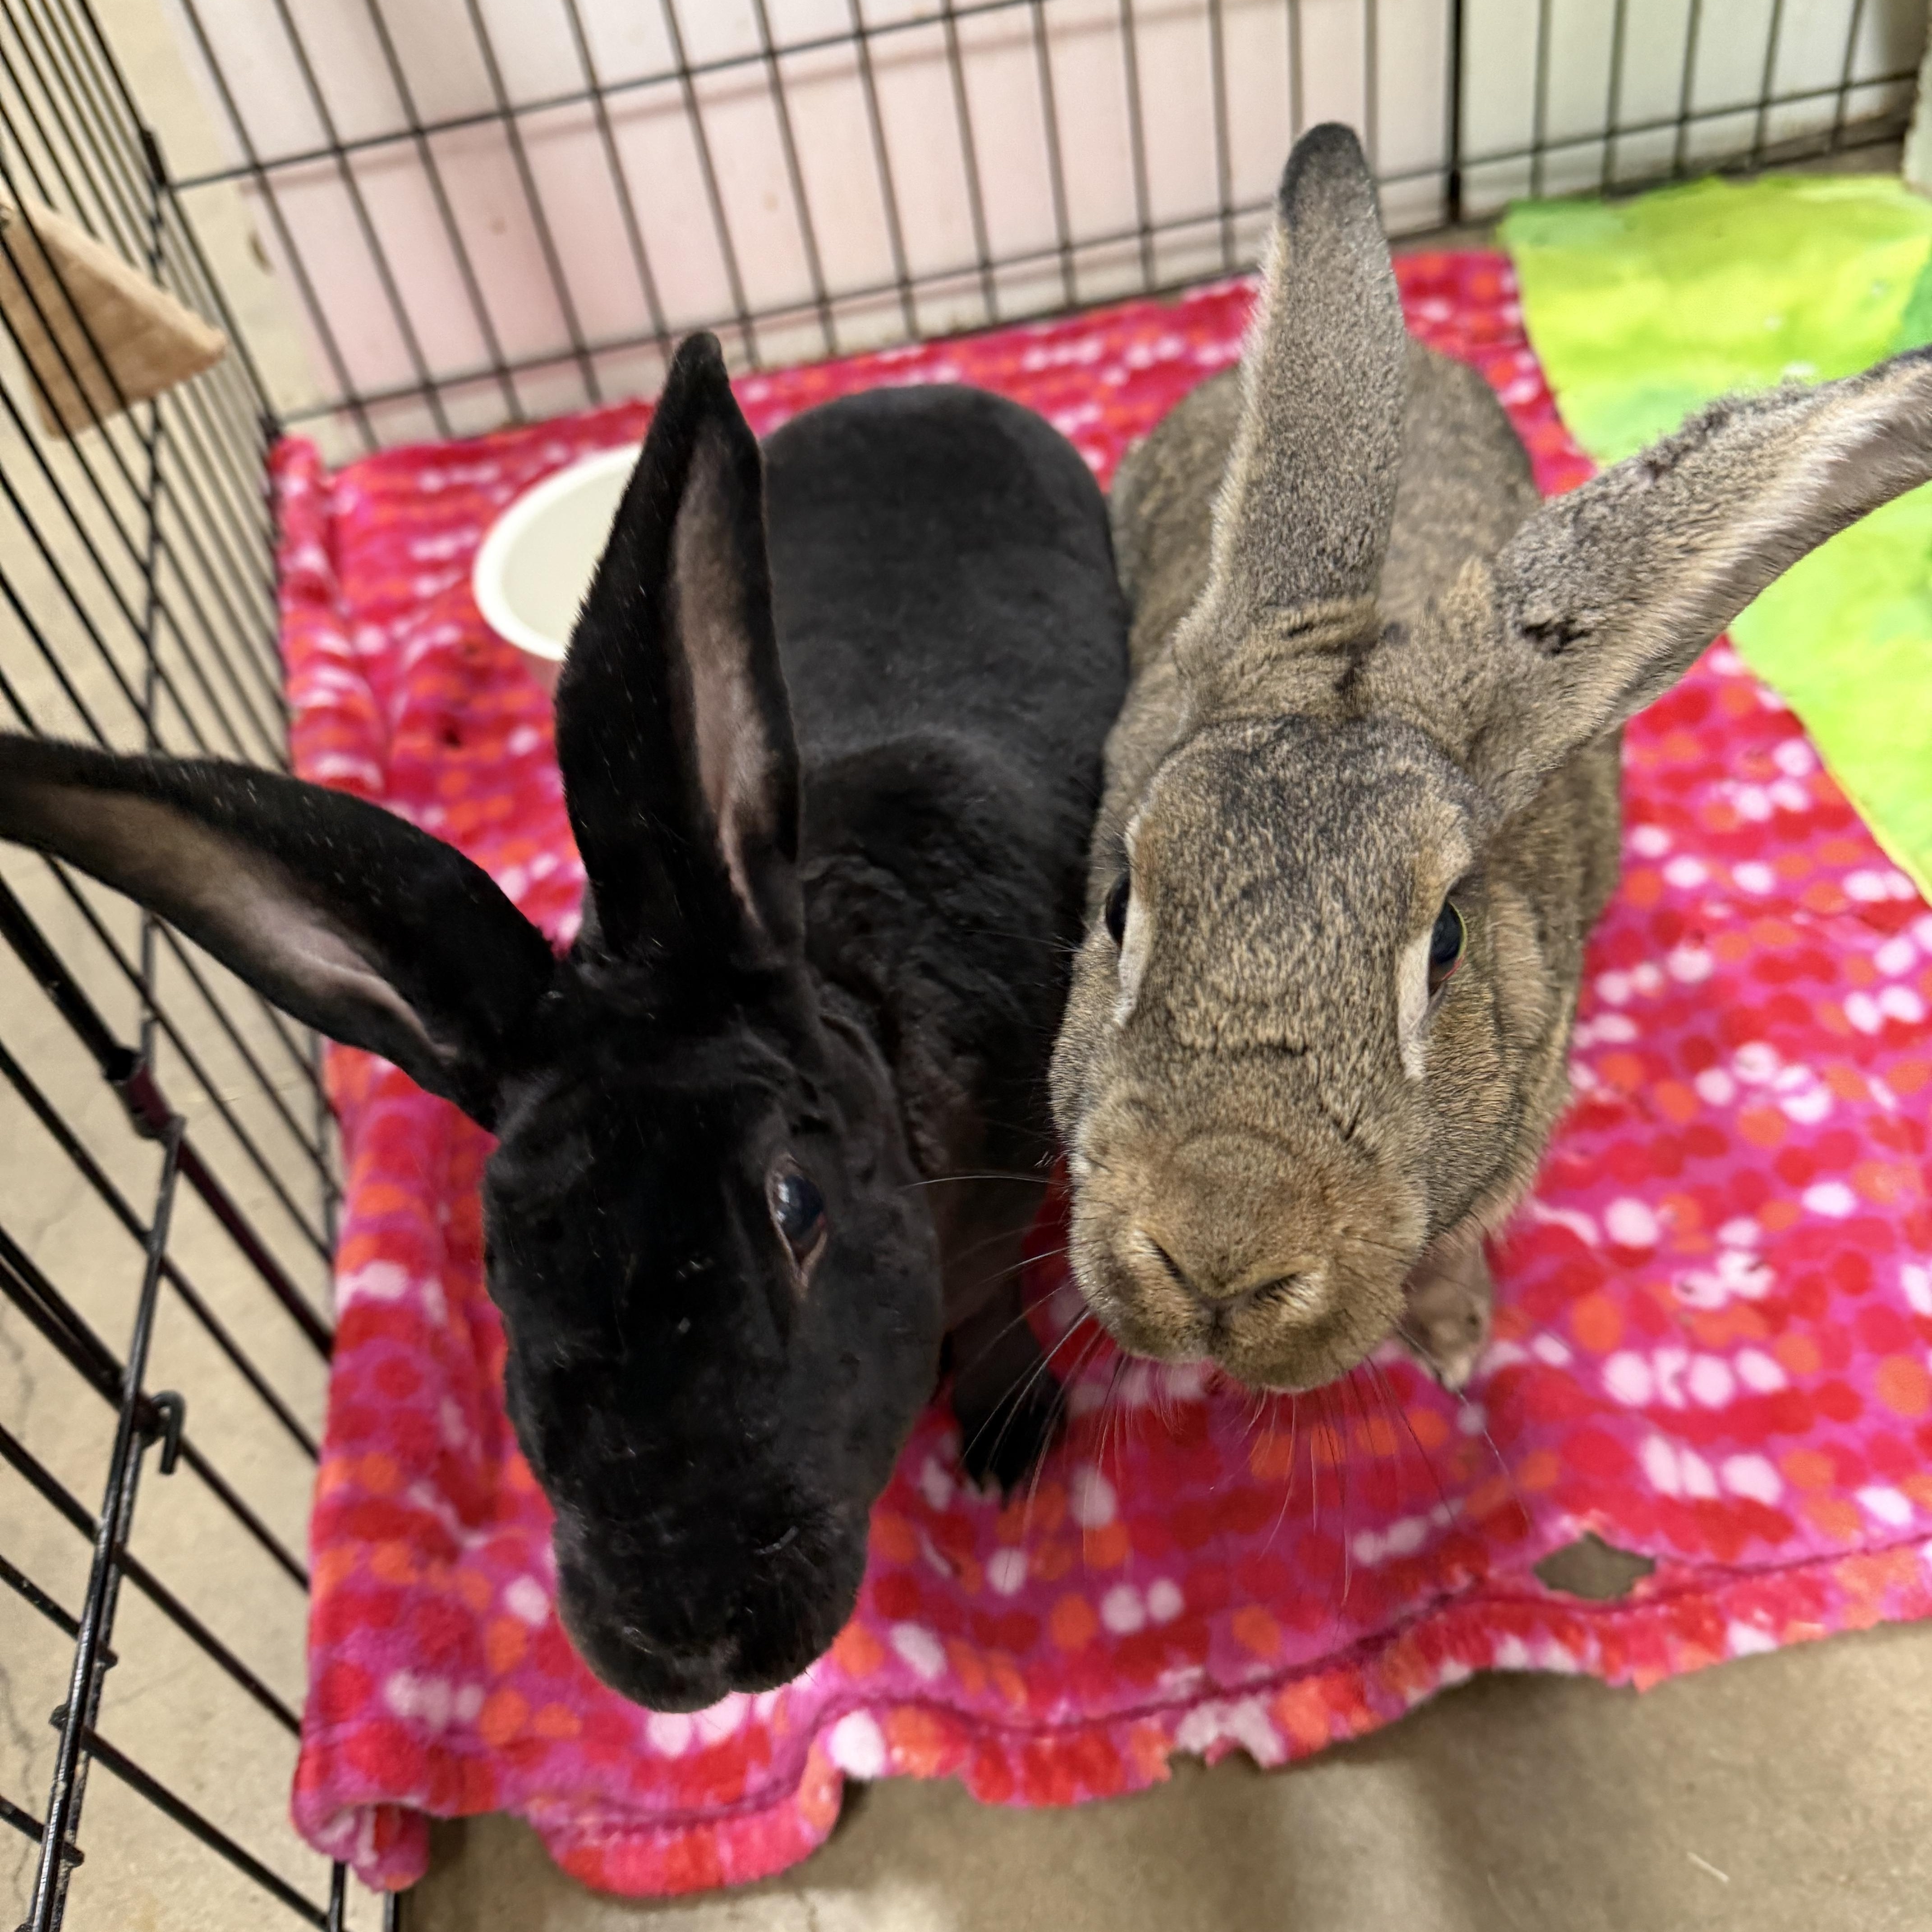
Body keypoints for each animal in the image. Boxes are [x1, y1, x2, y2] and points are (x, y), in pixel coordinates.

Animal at [0, 333, 1128, 1710]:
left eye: (794, 1203)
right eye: (496, 1261)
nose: (687, 1640)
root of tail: (907, 381)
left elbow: (993, 1303)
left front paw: (1011, 1444)